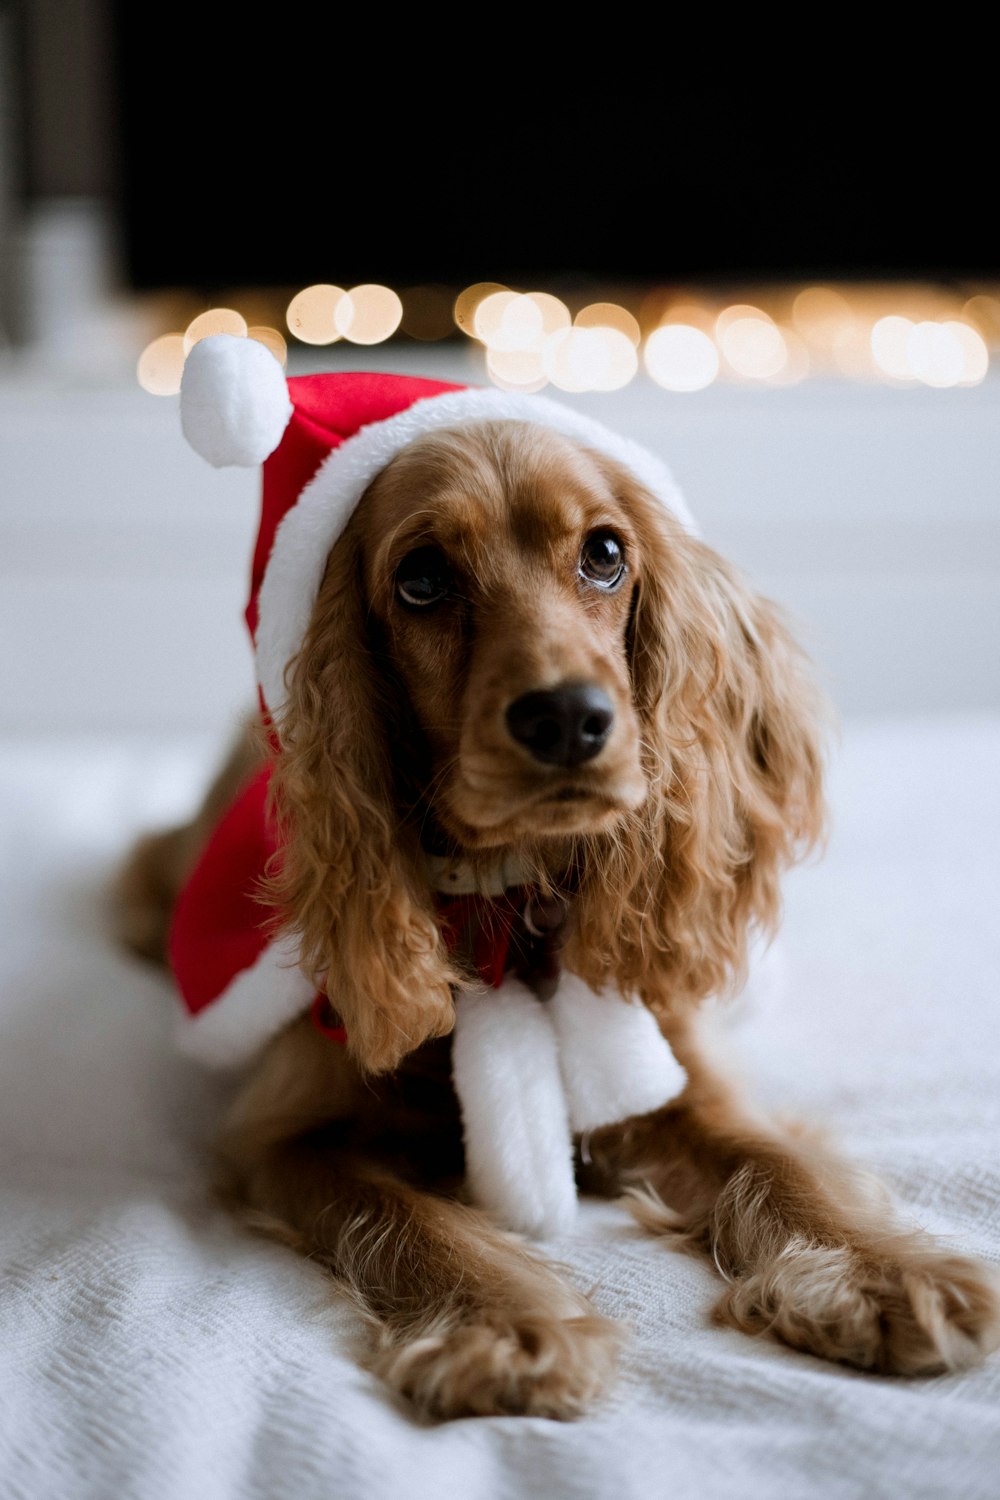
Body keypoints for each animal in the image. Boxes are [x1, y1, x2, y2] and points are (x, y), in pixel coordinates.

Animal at [119, 357, 1000, 1422]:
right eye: (421, 578)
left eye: (606, 553)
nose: (570, 718)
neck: (503, 904)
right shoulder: (285, 1133)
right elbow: (405, 1220)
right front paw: (506, 1325)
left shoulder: (683, 1079)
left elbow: (782, 1165)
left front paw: (881, 1273)